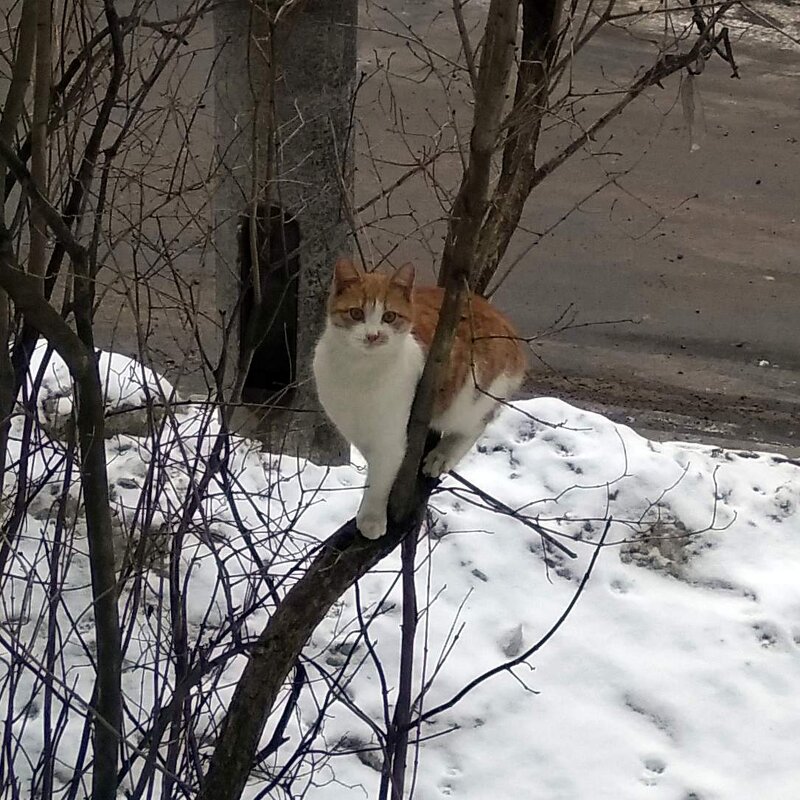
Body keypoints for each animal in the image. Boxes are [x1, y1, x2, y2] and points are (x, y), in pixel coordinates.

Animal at [314, 260, 532, 540]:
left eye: (389, 316)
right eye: (356, 313)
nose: (373, 336)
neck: (358, 372)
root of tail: (503, 320)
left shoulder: (390, 439)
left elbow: (380, 479)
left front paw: (371, 518)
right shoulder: (356, 429)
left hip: (470, 397)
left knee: (473, 427)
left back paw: (442, 455)